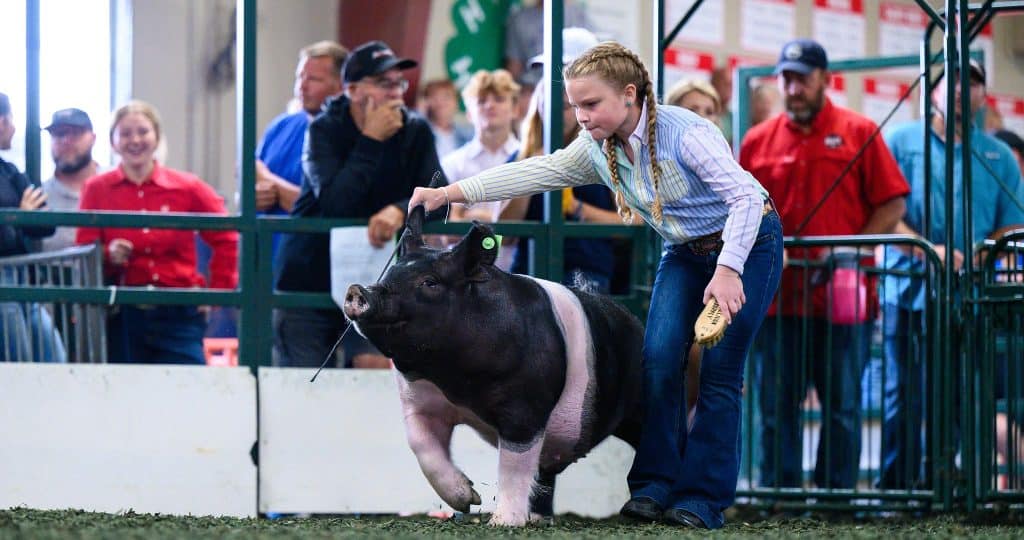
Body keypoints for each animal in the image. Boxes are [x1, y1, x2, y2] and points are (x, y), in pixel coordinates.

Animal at [348, 206, 643, 528]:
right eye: (391, 273)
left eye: (430, 282)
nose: (358, 290)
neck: (455, 382)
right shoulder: (420, 403)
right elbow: (421, 445)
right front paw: (468, 499)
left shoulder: (525, 408)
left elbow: (513, 465)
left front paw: (502, 522)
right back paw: (538, 518)